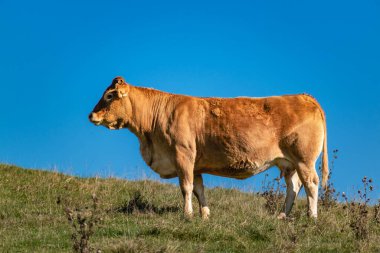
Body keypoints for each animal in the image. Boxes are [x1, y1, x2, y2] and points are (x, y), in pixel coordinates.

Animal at [90, 75, 330, 219]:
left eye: (109, 95)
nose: (91, 115)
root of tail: (304, 96)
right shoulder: (194, 164)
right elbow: (198, 189)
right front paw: (204, 215)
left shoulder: (183, 154)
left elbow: (185, 187)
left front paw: (187, 215)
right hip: (288, 163)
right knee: (294, 186)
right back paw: (282, 216)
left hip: (304, 159)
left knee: (311, 183)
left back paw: (312, 216)